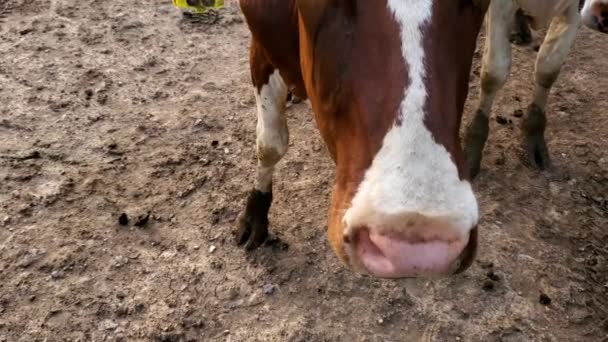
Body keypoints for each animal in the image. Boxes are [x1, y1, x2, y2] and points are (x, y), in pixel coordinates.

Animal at [466, 0, 608, 176]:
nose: (603, 11)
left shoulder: (575, 9)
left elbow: (548, 68)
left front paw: (532, 132)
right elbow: (493, 73)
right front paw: (471, 150)